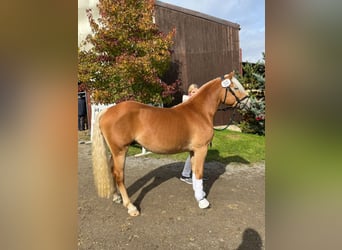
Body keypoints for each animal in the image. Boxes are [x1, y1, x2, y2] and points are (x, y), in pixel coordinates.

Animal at [92, 71, 250, 216]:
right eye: (236, 88)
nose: (248, 104)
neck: (199, 112)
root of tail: (107, 111)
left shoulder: (193, 150)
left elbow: (194, 172)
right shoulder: (201, 149)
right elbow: (199, 173)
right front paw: (202, 200)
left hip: (114, 151)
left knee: (111, 170)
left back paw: (116, 197)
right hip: (120, 151)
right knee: (119, 175)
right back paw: (131, 207)